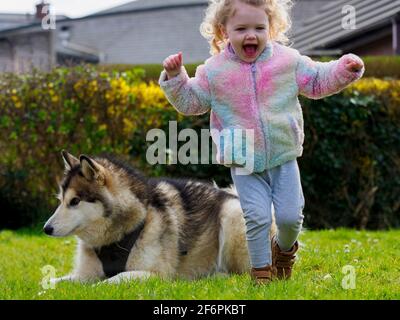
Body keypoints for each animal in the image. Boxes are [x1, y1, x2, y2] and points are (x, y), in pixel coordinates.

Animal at [43, 151, 276, 284]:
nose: (46, 229)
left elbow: (111, 280)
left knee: (244, 273)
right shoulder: (84, 274)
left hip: (232, 215)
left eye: (75, 201)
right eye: (60, 200)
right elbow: (53, 282)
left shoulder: (156, 274)